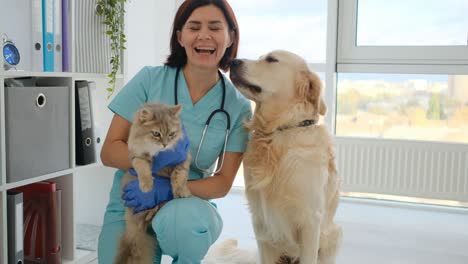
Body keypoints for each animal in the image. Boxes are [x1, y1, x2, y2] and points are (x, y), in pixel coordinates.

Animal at [114, 102, 190, 264]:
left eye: (171, 134)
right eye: (156, 134)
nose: (165, 144)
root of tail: (135, 231)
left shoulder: (182, 158)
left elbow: (179, 176)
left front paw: (181, 191)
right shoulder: (138, 156)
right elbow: (143, 169)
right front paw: (147, 187)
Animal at [229, 50, 342, 262]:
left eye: (271, 59)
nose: (232, 61)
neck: (279, 132)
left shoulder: (310, 220)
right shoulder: (261, 222)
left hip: (334, 234)